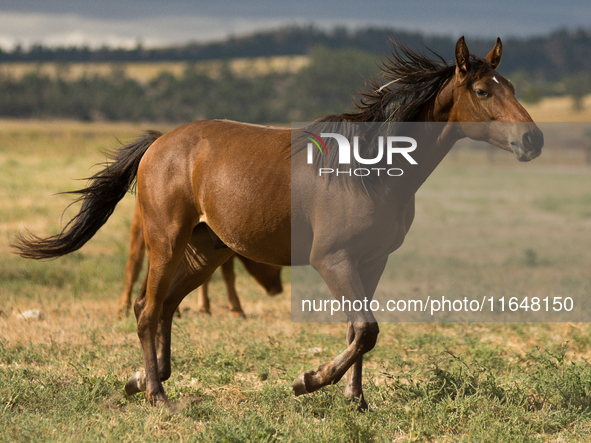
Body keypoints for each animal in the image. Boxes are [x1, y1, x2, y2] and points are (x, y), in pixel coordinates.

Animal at [118, 199, 284, 318]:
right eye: (278, 267)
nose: (279, 289)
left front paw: (205, 308)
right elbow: (229, 275)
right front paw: (236, 309)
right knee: (134, 265)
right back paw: (123, 308)